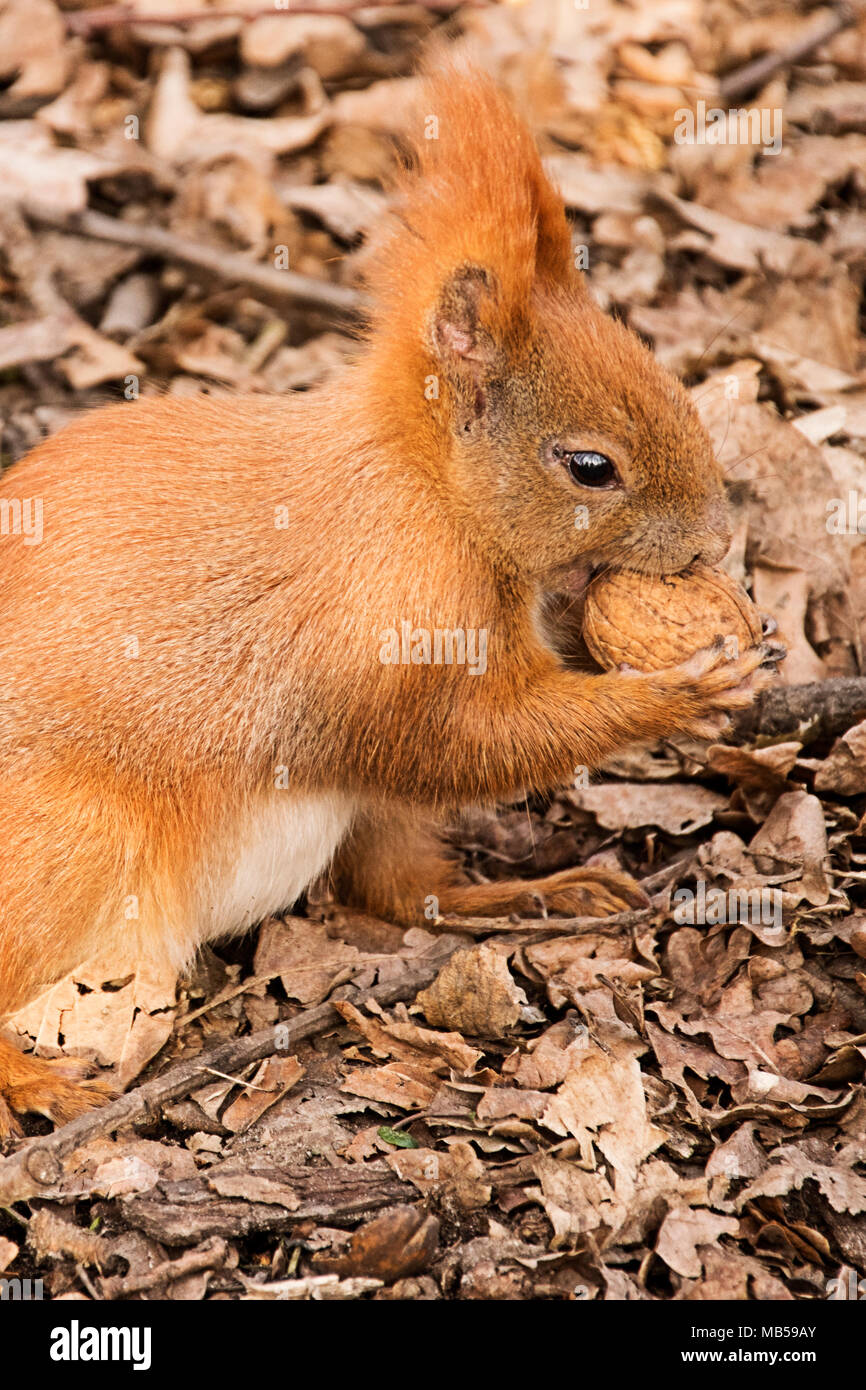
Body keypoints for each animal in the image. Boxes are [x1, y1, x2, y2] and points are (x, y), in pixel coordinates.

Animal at [0, 64, 774, 1133]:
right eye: (590, 467)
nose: (712, 543)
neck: (431, 495)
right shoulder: (385, 628)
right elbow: (459, 741)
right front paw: (680, 691)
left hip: (356, 819)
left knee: (396, 890)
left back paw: (529, 897)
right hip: (63, 842)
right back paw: (30, 1080)